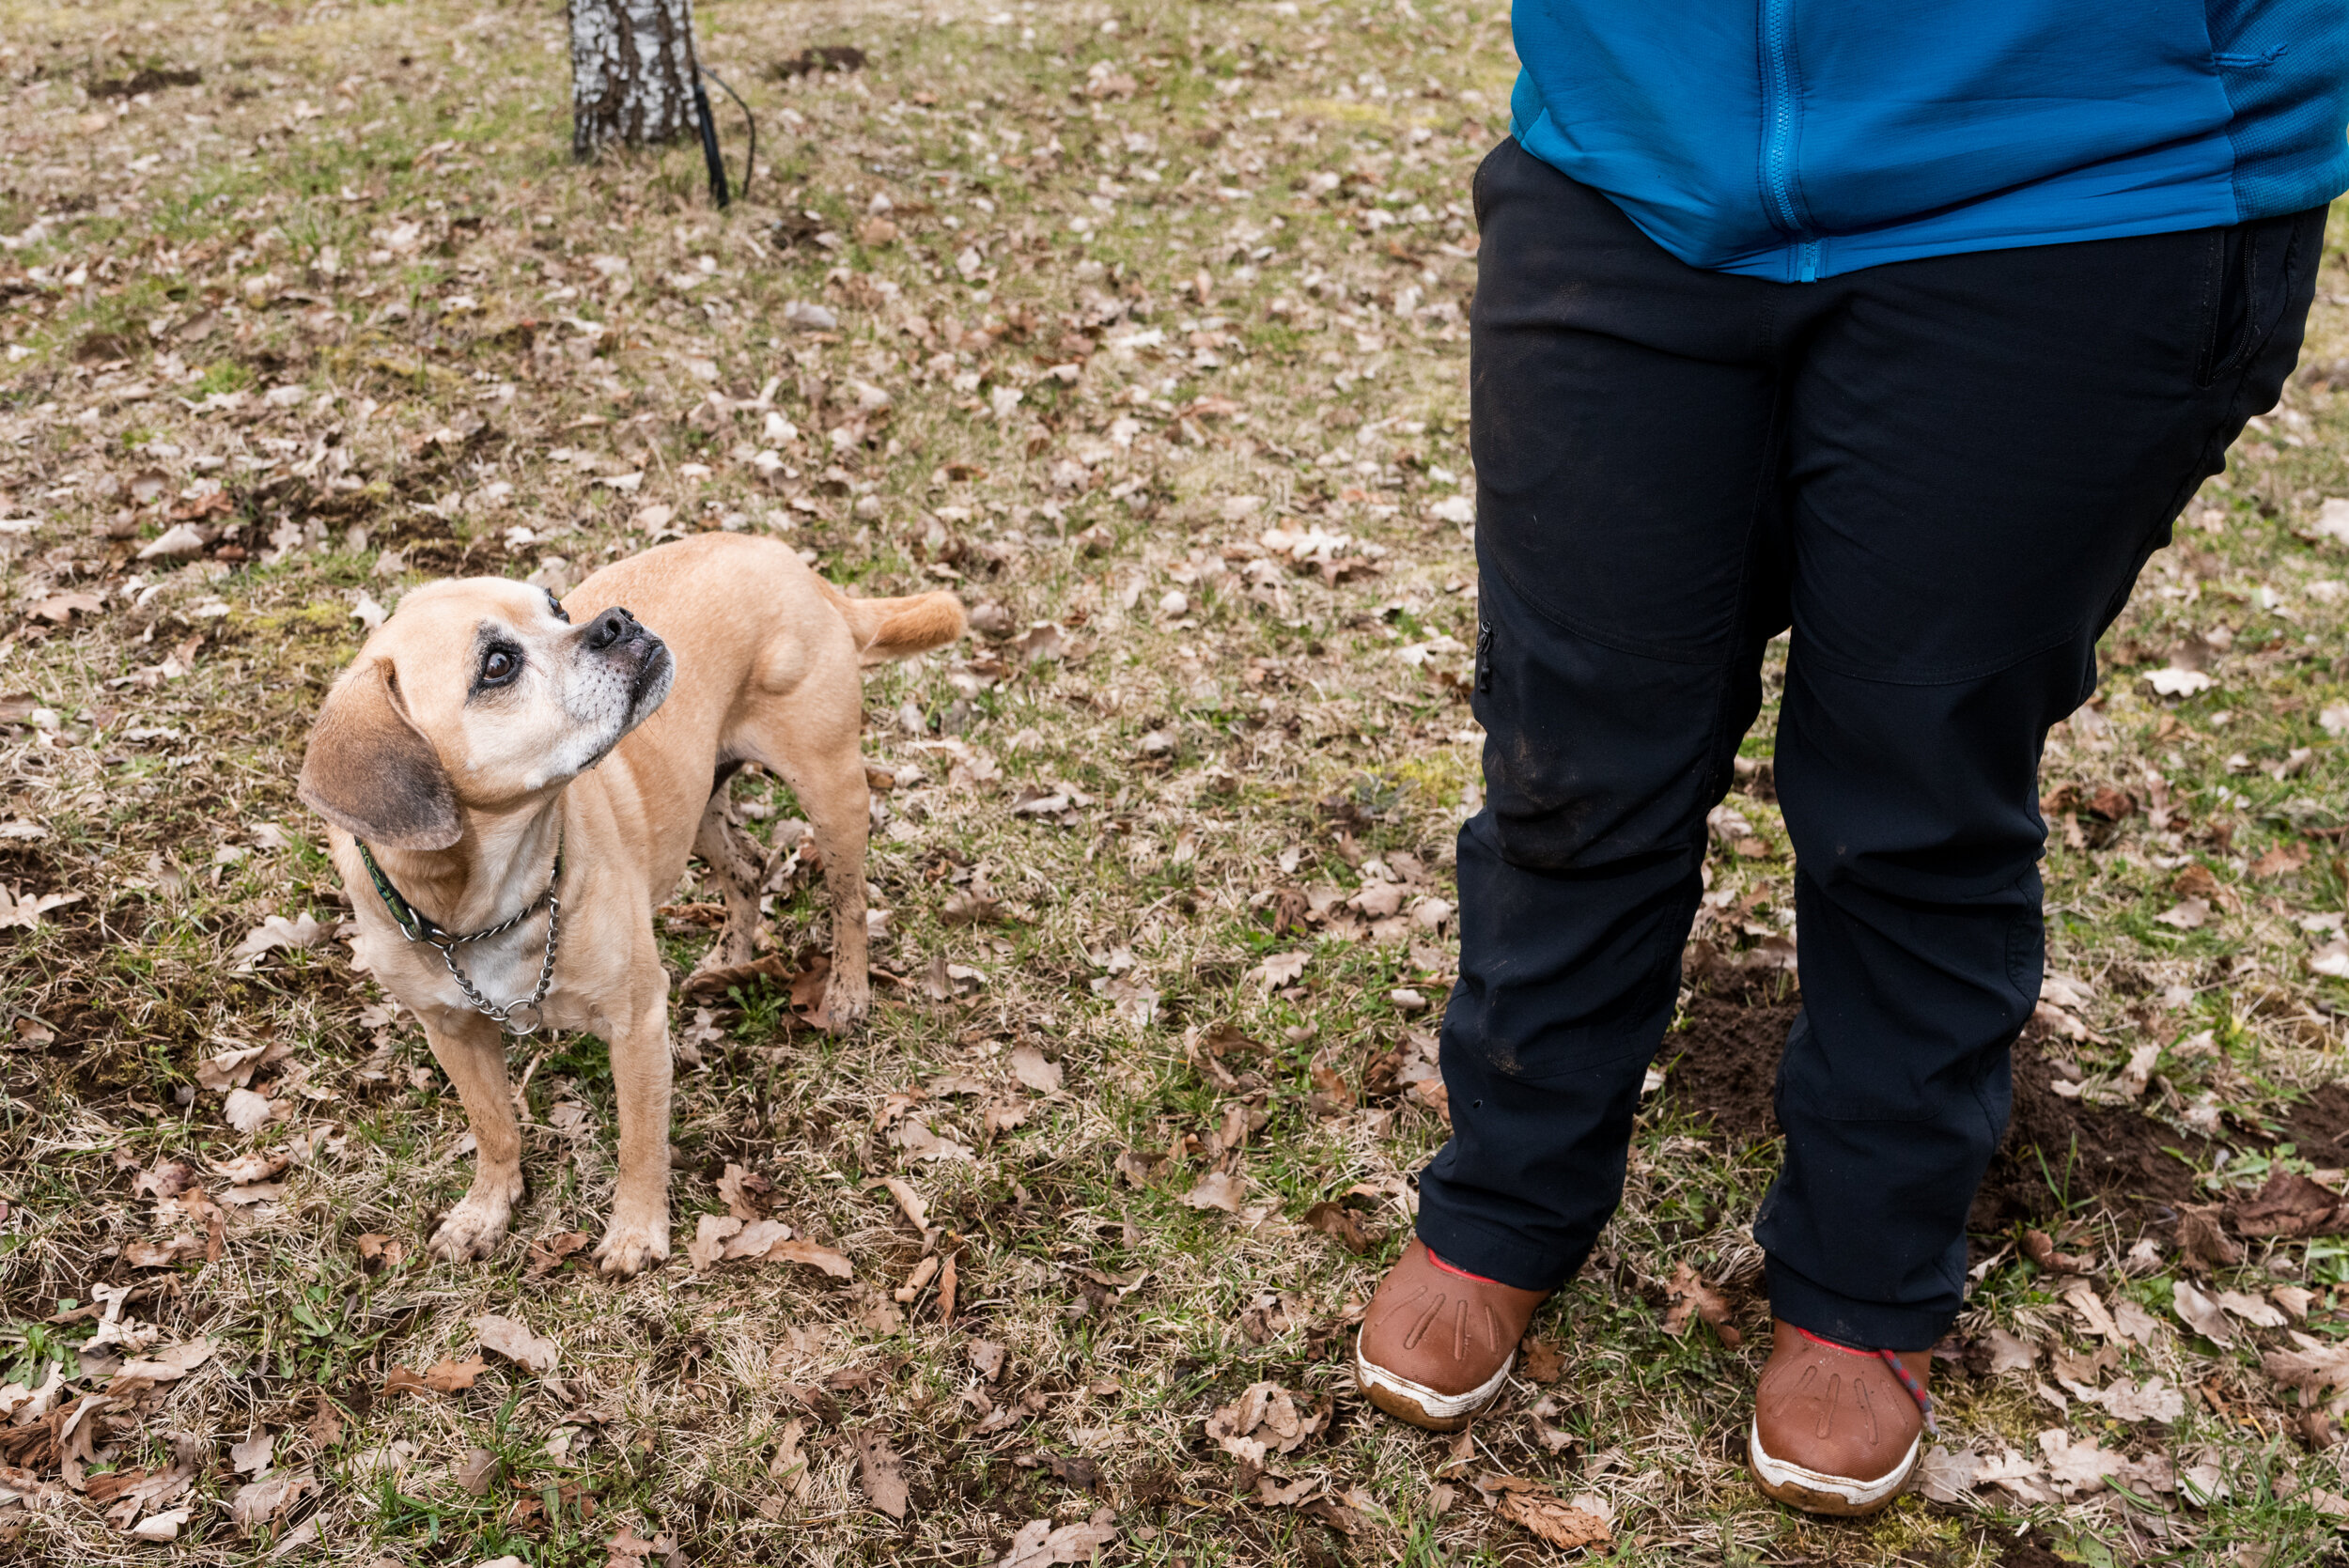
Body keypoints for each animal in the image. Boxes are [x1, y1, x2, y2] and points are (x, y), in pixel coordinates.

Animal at [303, 533, 963, 1267]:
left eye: (557, 606)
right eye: (497, 665)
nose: (616, 620)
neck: (489, 900)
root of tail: (782, 553)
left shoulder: (637, 1022)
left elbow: (640, 1141)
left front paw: (637, 1230)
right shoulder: (452, 1031)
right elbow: (494, 1127)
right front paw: (486, 1208)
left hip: (831, 789)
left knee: (848, 900)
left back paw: (847, 992)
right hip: (702, 804)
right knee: (747, 869)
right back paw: (730, 957)